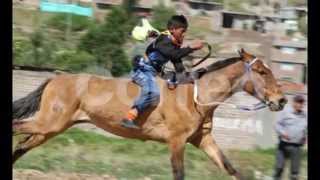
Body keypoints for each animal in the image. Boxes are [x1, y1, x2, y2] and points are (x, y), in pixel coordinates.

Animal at [12, 48, 288, 179]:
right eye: (262, 72)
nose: (281, 100)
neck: (196, 96)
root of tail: (55, 79)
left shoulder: (202, 139)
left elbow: (230, 168)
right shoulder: (176, 141)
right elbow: (179, 173)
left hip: (51, 129)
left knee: (20, 147)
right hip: (48, 124)